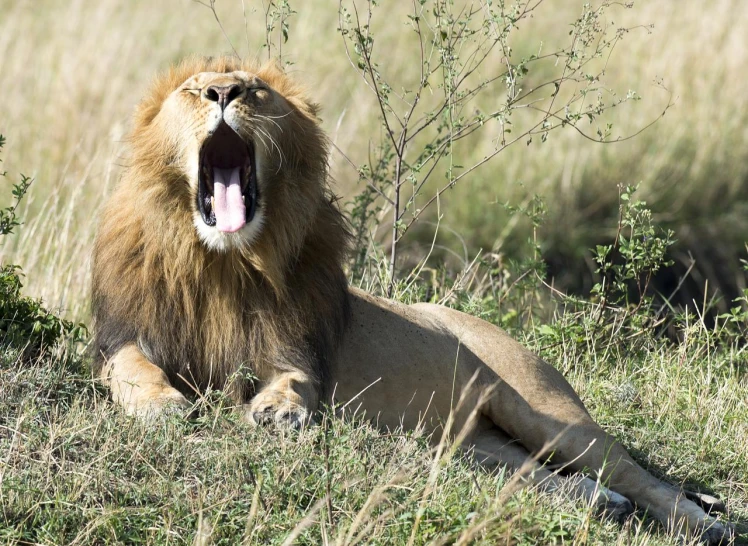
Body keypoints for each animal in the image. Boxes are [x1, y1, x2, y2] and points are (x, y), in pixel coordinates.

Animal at [90, 55, 732, 540]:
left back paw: (703, 523)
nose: (224, 92)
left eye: (255, 90)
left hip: (547, 413)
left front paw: (278, 410)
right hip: (471, 444)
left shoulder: (299, 346)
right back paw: (598, 503)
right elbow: (131, 368)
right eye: (194, 90)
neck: (223, 263)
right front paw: (160, 406)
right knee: (530, 474)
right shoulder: (124, 335)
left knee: (641, 476)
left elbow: (293, 378)